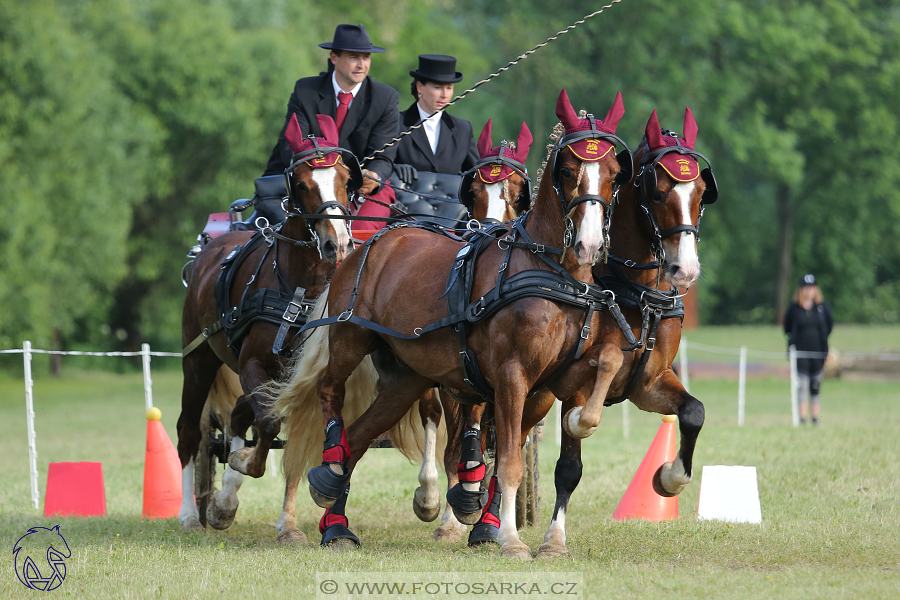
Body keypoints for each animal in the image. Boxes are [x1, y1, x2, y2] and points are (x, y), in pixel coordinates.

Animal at [176, 111, 358, 536]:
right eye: (302, 184)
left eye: (345, 179)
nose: (338, 244)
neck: (301, 287)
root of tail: (209, 247)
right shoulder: (253, 364)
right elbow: (269, 424)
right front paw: (238, 475)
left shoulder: (300, 374)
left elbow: (265, 423)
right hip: (197, 360)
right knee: (189, 431)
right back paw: (191, 514)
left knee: (241, 417)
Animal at [274, 90, 632, 556]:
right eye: (568, 171)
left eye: (613, 173)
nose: (589, 244)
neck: (551, 273)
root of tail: (368, 243)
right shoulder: (511, 376)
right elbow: (509, 462)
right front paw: (509, 539)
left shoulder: (554, 381)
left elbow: (604, 367)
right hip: (352, 337)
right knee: (330, 393)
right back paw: (331, 470)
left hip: (407, 377)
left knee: (361, 435)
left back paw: (336, 520)